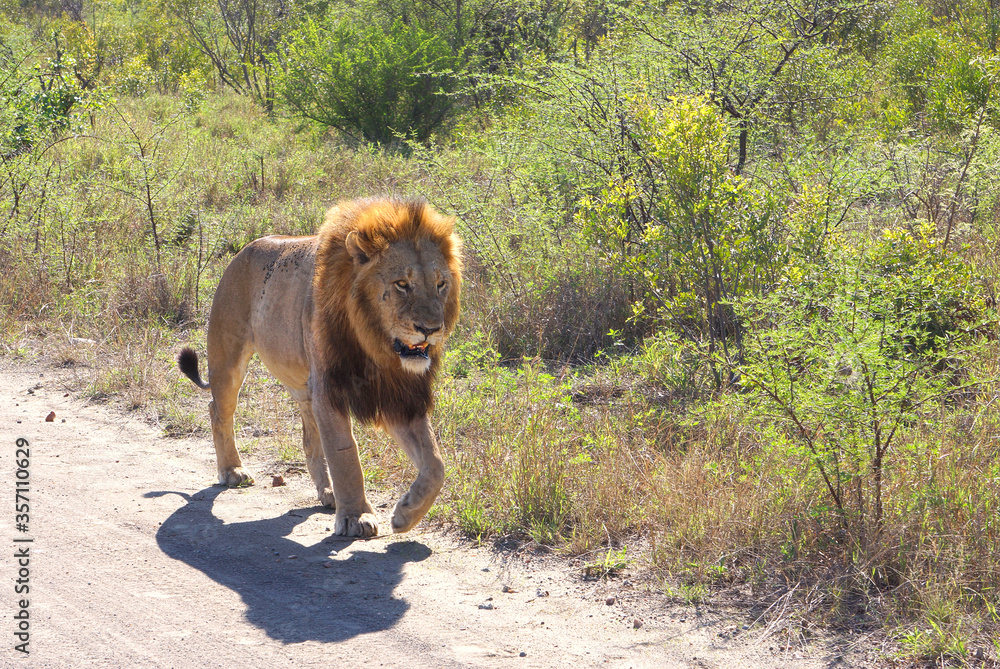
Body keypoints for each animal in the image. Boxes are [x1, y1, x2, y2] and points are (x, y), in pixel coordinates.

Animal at [177, 197, 461, 537]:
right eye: (402, 284)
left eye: (441, 284)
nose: (431, 329)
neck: (376, 346)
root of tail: (245, 249)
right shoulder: (329, 388)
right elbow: (345, 454)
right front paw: (356, 517)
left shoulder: (399, 394)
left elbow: (436, 463)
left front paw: (406, 514)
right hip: (228, 359)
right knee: (218, 410)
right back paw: (233, 470)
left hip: (304, 387)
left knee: (310, 438)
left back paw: (328, 493)